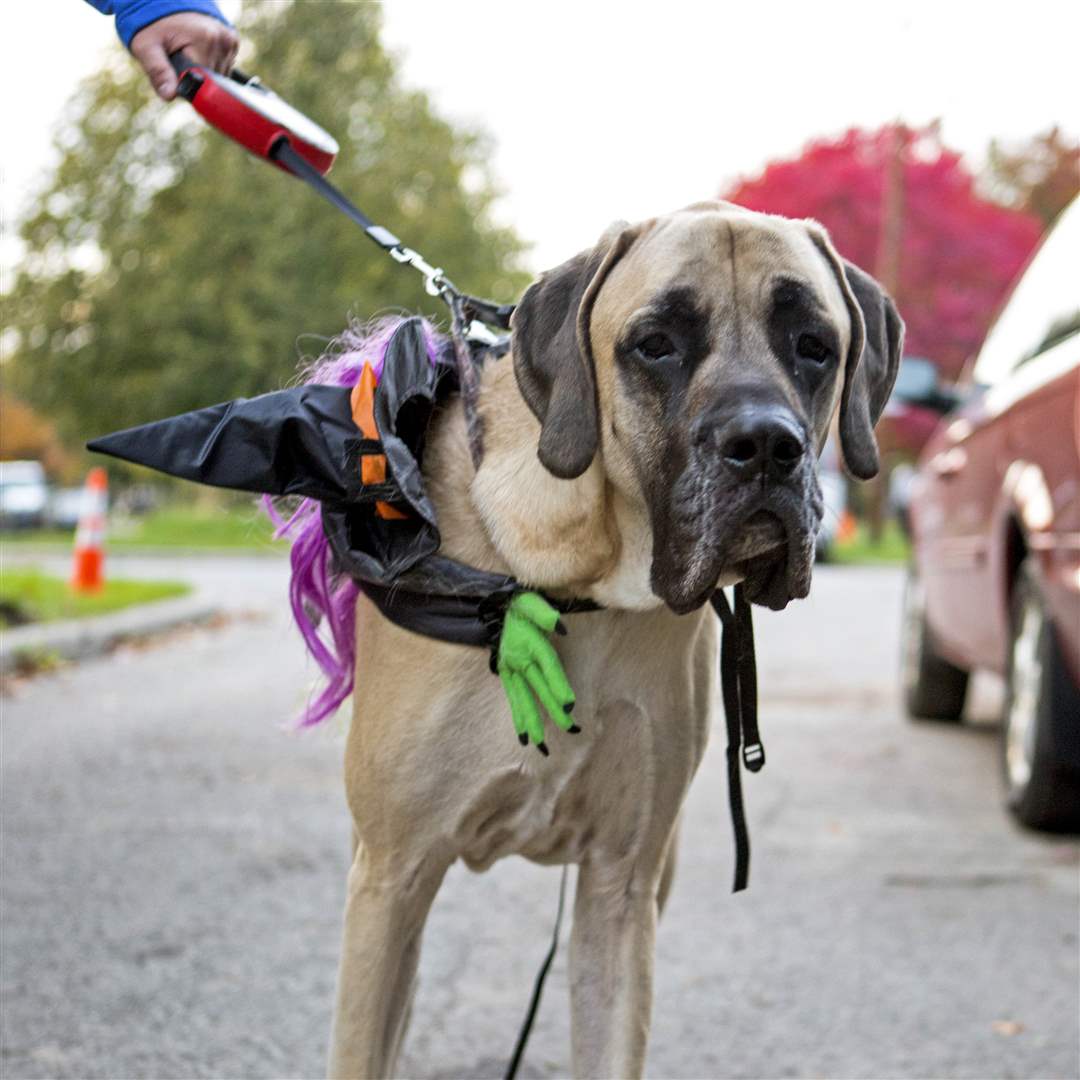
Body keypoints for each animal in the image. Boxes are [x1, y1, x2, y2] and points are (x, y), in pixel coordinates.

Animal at [327, 200, 902, 1078]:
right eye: (655, 344)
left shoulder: (622, 888)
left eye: (815, 346)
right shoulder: (391, 878)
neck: (581, 576)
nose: (766, 445)